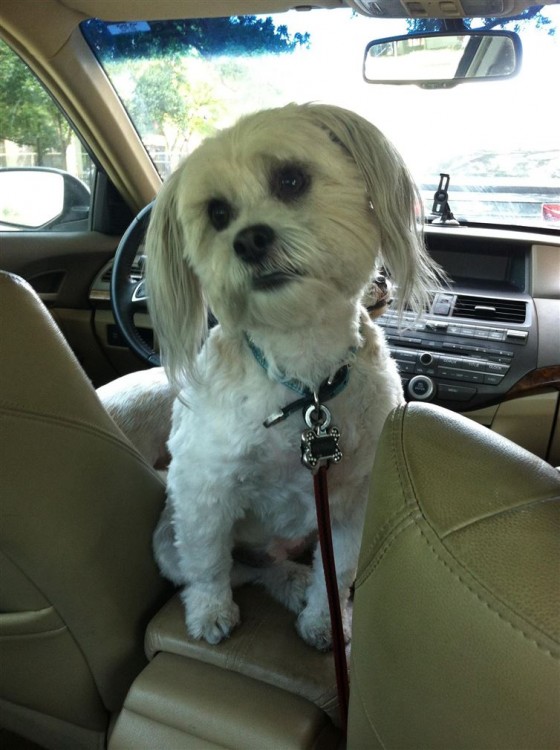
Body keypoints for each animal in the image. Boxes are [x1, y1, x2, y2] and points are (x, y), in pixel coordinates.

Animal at [145, 103, 442, 648]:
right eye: (217, 213)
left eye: (291, 179)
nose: (249, 238)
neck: (307, 383)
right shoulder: (203, 491)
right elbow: (208, 563)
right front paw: (210, 612)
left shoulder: (351, 503)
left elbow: (338, 572)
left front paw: (327, 619)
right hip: (168, 537)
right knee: (242, 567)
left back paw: (297, 582)